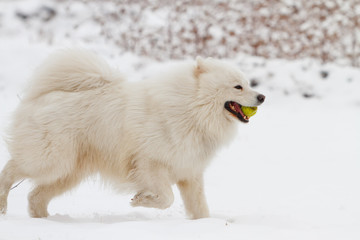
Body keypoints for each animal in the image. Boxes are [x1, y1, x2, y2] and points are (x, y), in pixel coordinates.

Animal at [0, 49, 264, 218]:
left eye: (248, 83)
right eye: (238, 86)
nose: (262, 97)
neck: (192, 108)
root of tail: (44, 95)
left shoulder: (190, 172)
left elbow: (199, 207)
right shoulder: (150, 164)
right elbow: (166, 198)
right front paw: (140, 200)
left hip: (68, 171)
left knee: (35, 196)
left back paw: (46, 220)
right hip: (51, 160)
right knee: (11, 170)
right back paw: (3, 204)